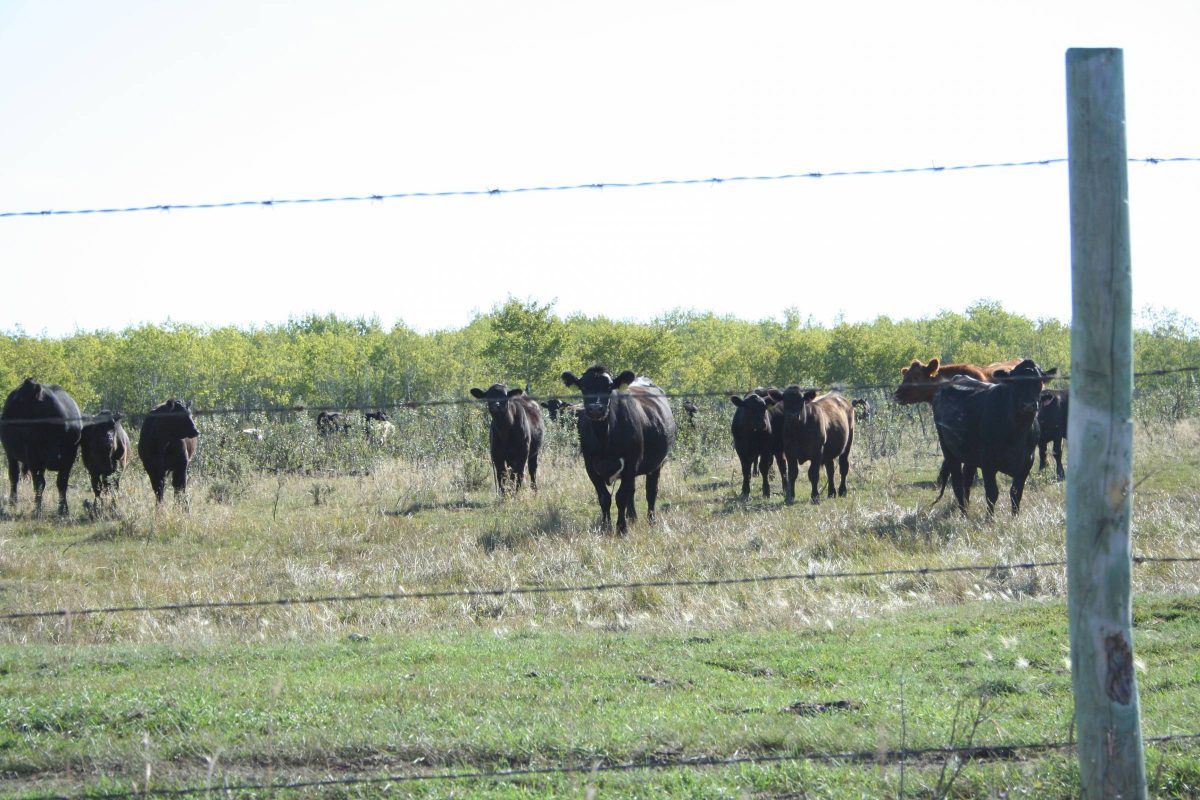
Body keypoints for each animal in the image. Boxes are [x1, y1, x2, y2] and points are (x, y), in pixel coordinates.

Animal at [1, 378, 83, 514]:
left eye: (20, 399)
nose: (5, 417)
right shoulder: (34, 458)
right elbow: (39, 484)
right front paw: (38, 509)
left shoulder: (69, 457)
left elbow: (62, 483)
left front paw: (63, 509)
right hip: (11, 453)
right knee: (14, 475)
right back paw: (13, 501)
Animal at [561, 366, 676, 533]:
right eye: (584, 387)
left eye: (609, 387)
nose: (596, 409)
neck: (604, 438)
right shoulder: (590, 466)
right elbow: (604, 497)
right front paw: (605, 527)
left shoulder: (631, 463)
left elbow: (621, 497)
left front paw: (622, 528)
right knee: (632, 491)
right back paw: (632, 517)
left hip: (657, 463)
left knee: (651, 491)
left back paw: (651, 521)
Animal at [931, 359, 1050, 515]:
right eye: (1014, 382)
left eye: (1039, 381)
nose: (1028, 405)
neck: (1018, 430)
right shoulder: (988, 462)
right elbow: (992, 493)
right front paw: (989, 518)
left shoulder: (1026, 463)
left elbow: (1016, 493)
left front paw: (1015, 517)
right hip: (948, 450)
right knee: (957, 484)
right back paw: (964, 514)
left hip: (970, 455)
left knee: (966, 481)